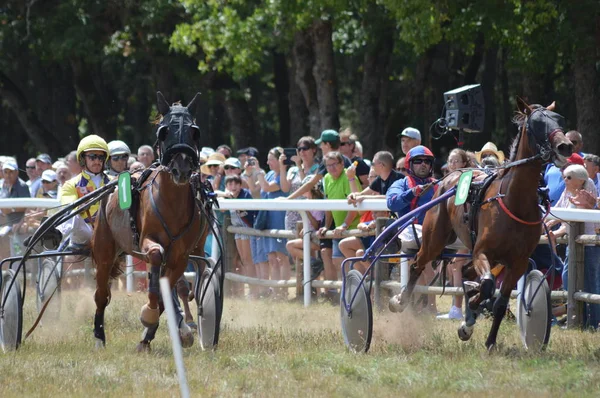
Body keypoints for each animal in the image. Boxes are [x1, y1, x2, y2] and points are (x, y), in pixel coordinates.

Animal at [90, 91, 210, 350]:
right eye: (164, 131)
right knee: (101, 295)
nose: (181, 169)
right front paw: (149, 314)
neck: (171, 203)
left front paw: (150, 333)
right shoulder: (148, 241)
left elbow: (168, 289)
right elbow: (155, 257)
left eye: (194, 131)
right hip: (104, 248)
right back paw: (99, 337)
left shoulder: (180, 256)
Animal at [390, 98, 572, 348]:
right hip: (434, 240)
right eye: (537, 123)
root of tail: (448, 176)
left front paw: (488, 339)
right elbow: (486, 286)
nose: (566, 146)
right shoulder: (481, 252)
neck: (514, 201)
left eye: (560, 120)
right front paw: (469, 318)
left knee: (465, 272)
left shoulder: (518, 262)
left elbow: (500, 301)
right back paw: (400, 301)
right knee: (418, 263)